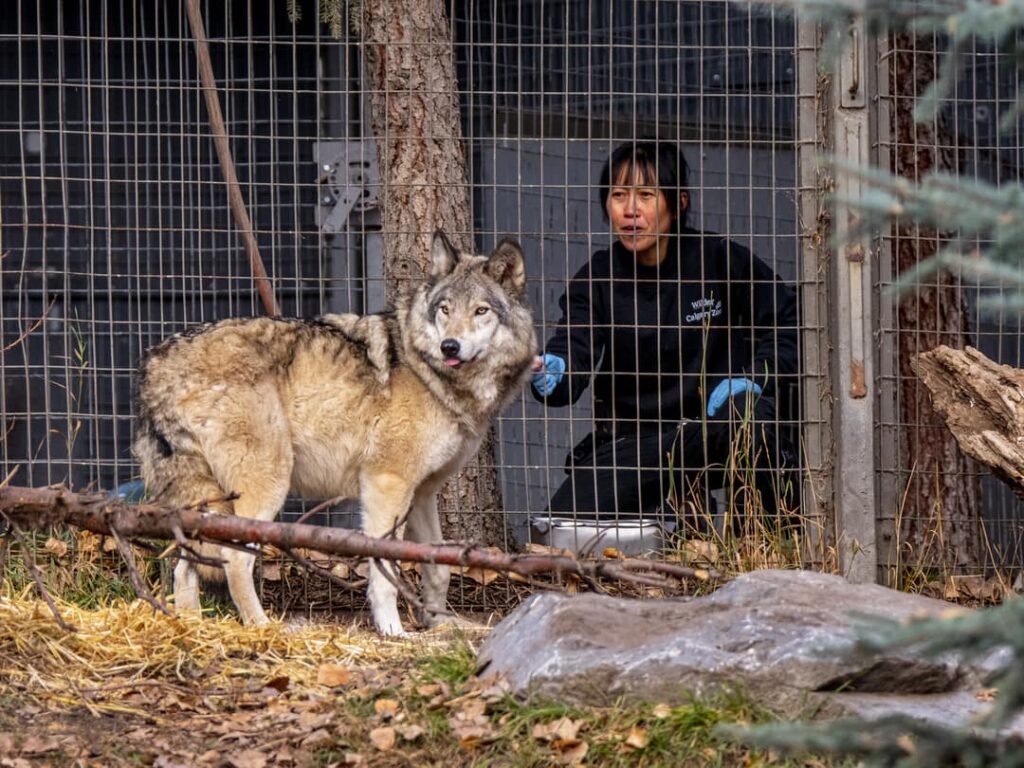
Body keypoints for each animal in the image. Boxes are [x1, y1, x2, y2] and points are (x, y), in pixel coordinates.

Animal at [130, 231, 536, 634]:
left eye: (481, 311)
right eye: (445, 310)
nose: (449, 346)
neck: (427, 371)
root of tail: (157, 361)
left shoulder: (421, 493)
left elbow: (438, 569)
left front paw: (439, 624)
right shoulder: (387, 483)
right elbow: (385, 571)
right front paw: (393, 631)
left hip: (207, 500)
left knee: (186, 566)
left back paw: (191, 627)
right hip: (267, 485)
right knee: (233, 559)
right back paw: (262, 627)